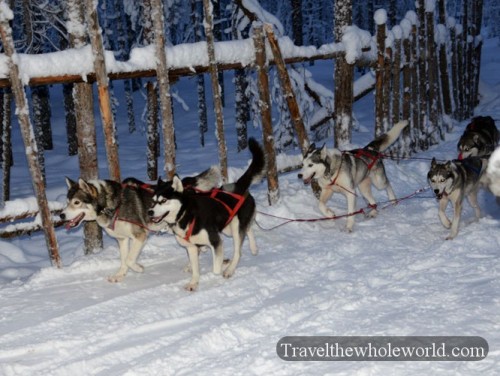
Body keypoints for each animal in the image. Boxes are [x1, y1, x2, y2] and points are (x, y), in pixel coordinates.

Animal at [59, 167, 220, 282]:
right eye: (67, 202)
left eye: (77, 202)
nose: (61, 215)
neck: (110, 205)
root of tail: (187, 185)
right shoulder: (122, 239)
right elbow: (124, 260)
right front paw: (120, 275)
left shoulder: (140, 236)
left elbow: (129, 259)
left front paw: (138, 268)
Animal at [148, 138, 266, 290]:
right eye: (153, 201)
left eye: (163, 200)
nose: (150, 212)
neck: (185, 214)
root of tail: (239, 185)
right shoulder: (191, 248)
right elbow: (195, 267)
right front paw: (193, 282)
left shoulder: (216, 241)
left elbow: (215, 268)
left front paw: (221, 266)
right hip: (228, 227)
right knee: (248, 229)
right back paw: (253, 248)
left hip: (234, 229)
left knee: (238, 251)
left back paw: (230, 269)